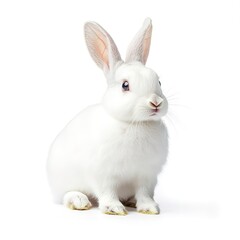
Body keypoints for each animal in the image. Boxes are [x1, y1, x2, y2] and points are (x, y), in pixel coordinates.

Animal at [47, 17, 169, 215]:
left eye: (159, 81)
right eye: (125, 85)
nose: (155, 102)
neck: (136, 123)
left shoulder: (147, 176)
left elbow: (144, 194)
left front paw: (150, 208)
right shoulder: (104, 174)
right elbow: (107, 192)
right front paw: (114, 209)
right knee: (66, 195)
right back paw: (79, 201)